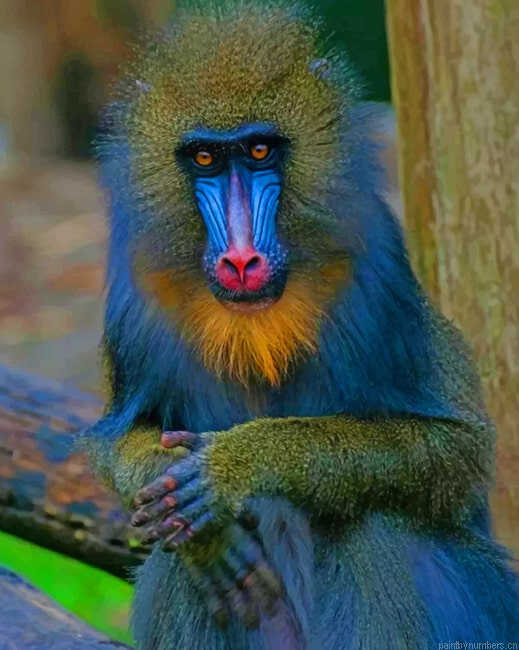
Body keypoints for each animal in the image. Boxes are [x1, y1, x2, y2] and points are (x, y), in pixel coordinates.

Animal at [80, 1, 519, 648]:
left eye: (260, 152)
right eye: (206, 158)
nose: (241, 261)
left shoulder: (380, 274)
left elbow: (454, 450)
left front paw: (235, 466)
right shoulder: (135, 290)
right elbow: (117, 444)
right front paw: (202, 524)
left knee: (375, 525)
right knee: (175, 562)